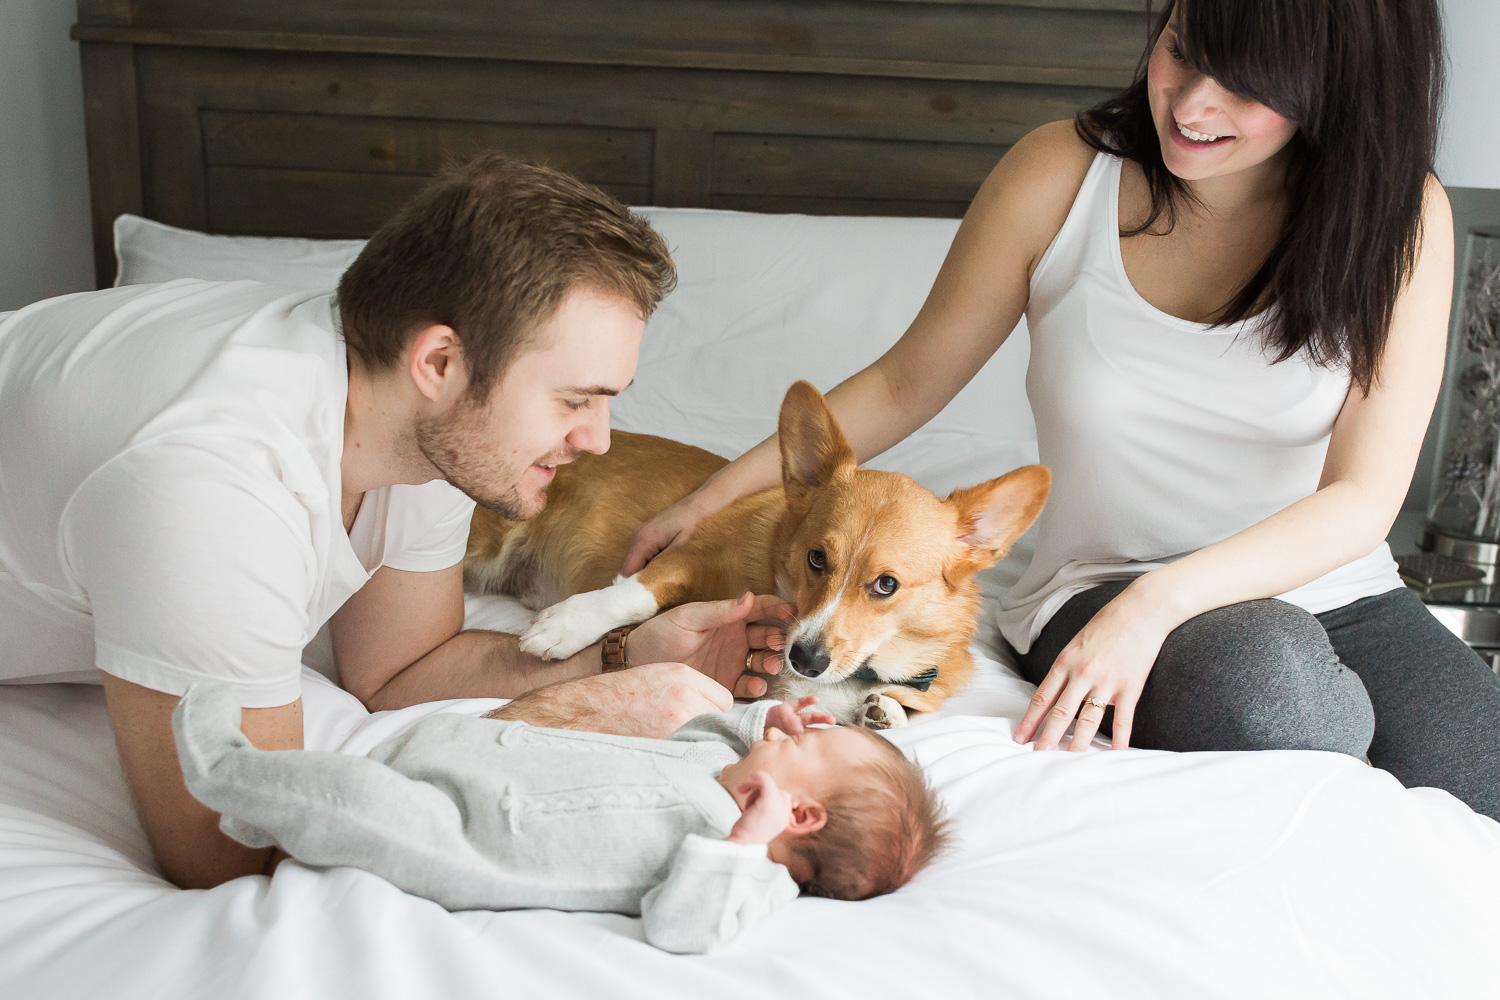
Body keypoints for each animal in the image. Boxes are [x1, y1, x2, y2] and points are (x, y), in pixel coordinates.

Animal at [462, 379, 1050, 731]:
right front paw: (565, 625)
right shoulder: (687, 551)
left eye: (886, 585)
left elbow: (904, 705)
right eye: (816, 558)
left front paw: (885, 708)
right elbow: (634, 593)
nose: (804, 660)